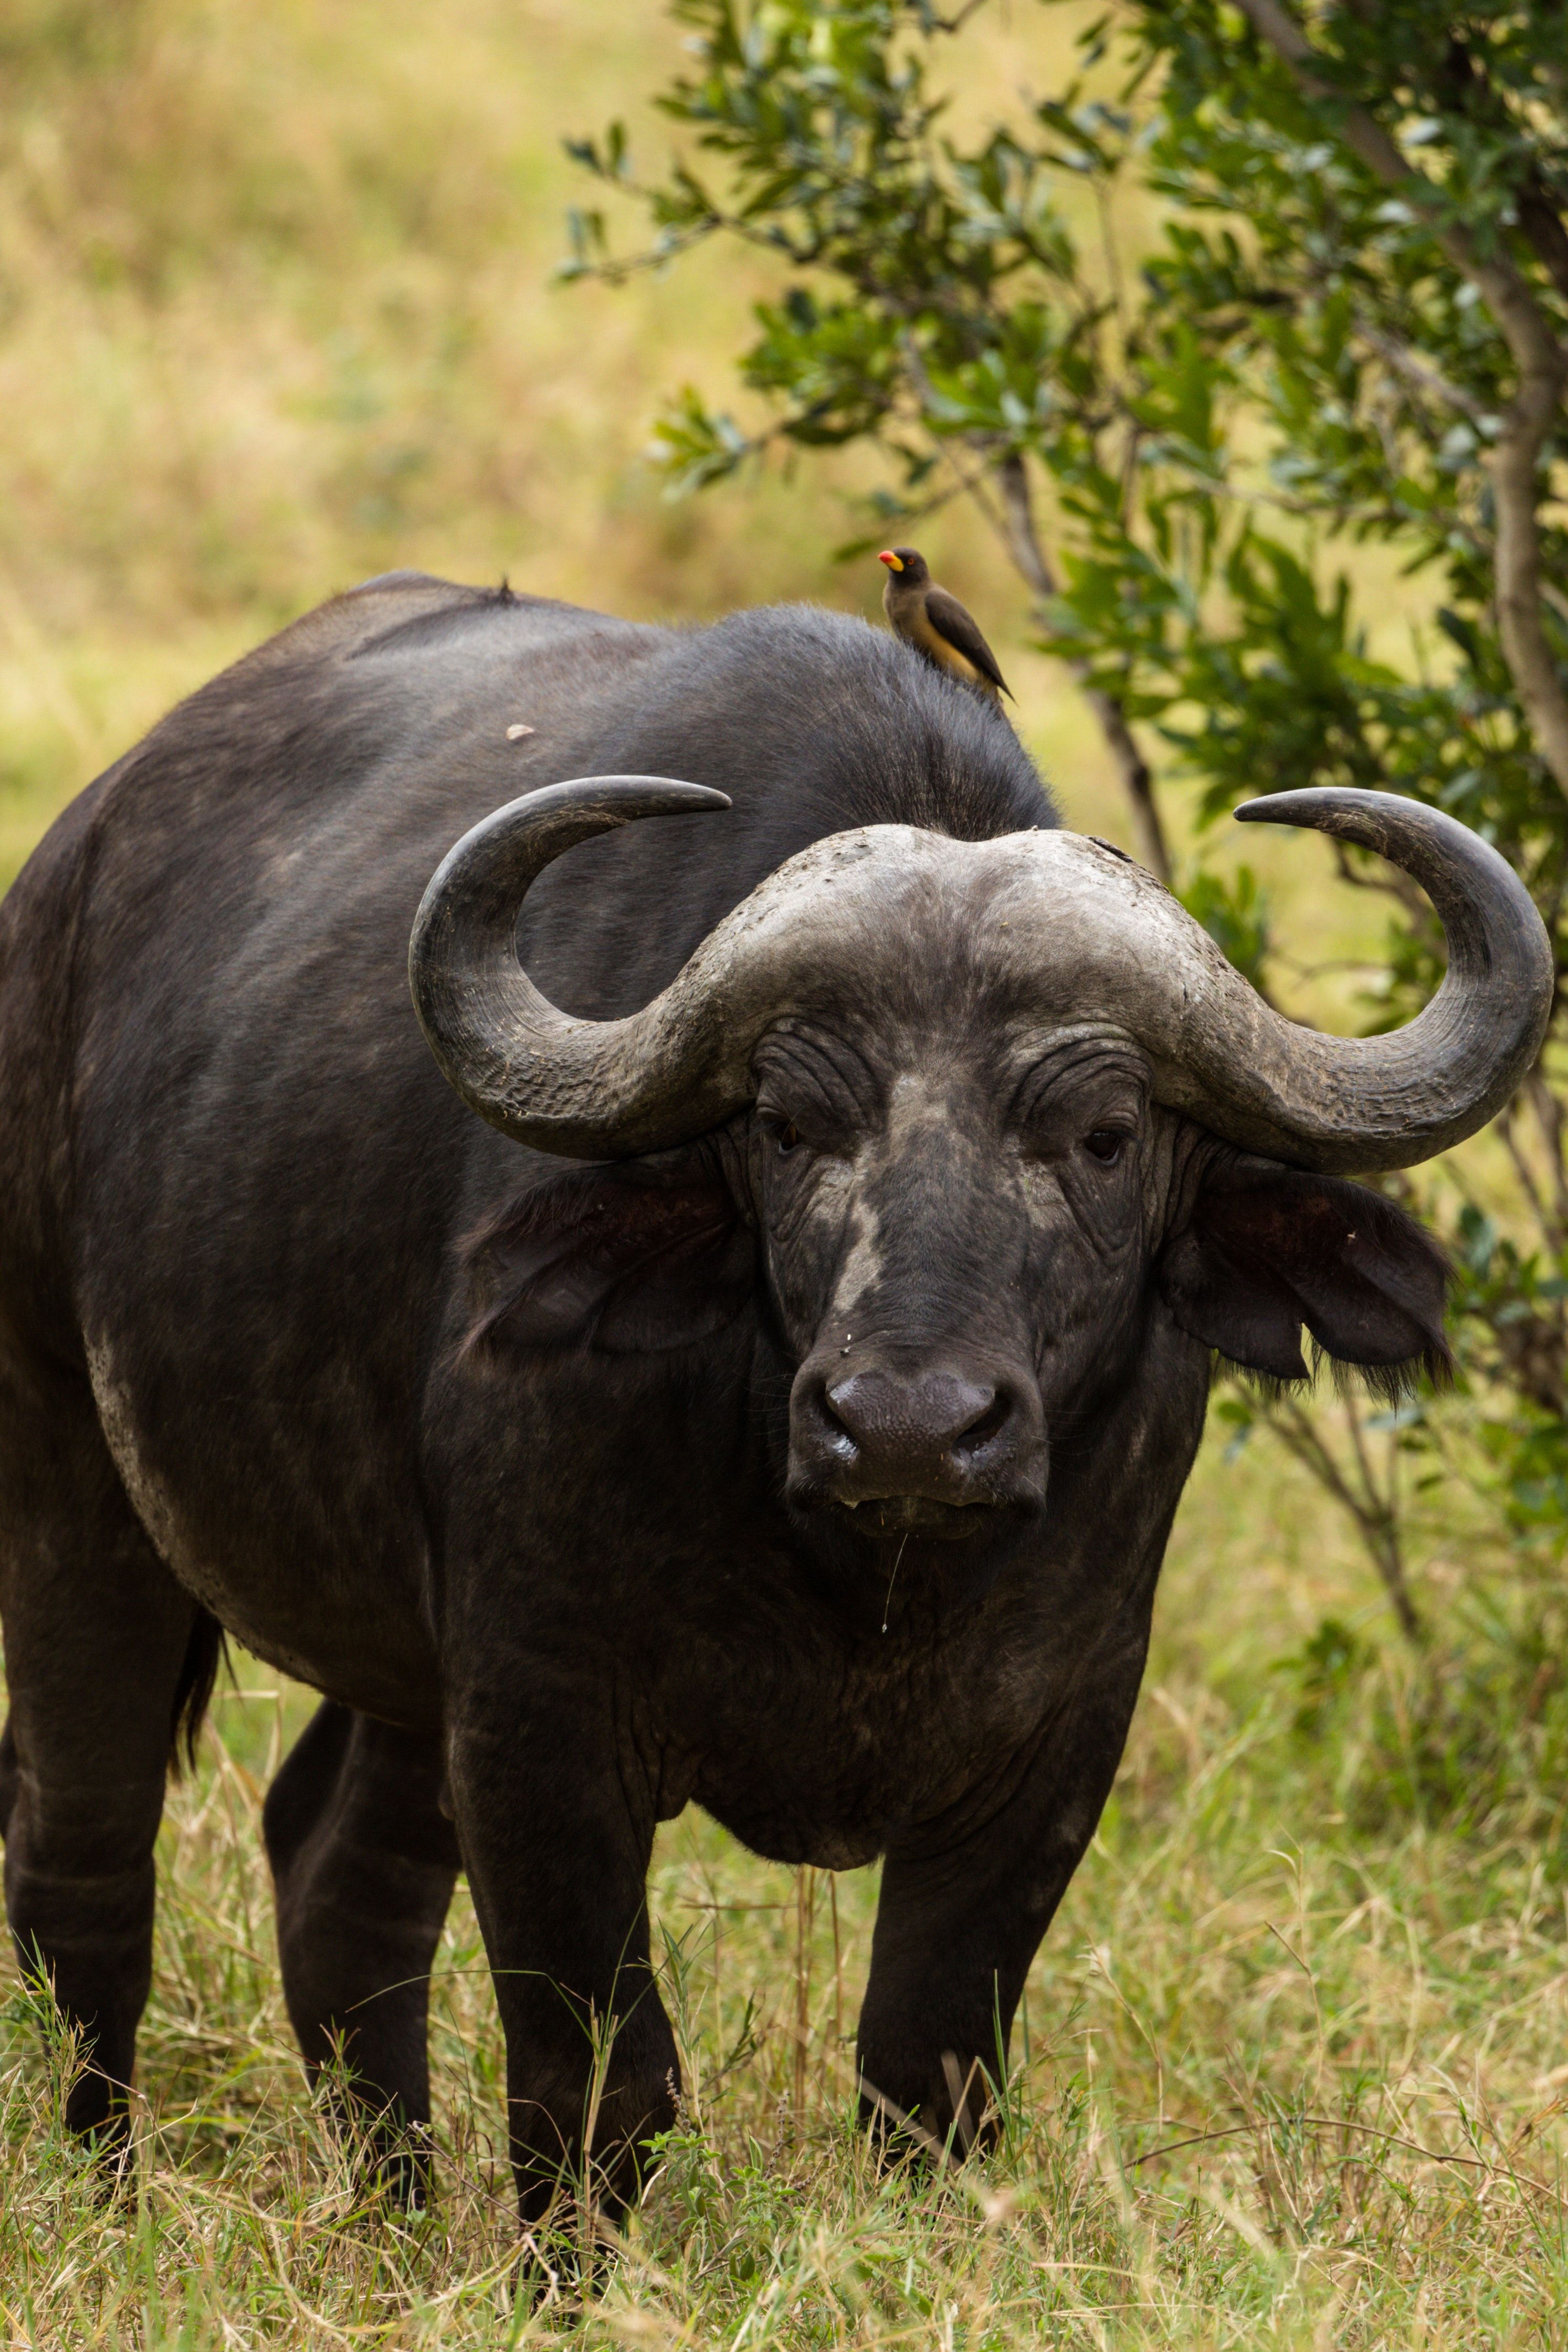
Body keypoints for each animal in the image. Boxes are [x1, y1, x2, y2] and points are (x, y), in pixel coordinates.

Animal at [0, 574, 1551, 2220]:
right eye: (790, 1122)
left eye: (1107, 1131)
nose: (910, 1426)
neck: (862, 1573)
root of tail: (66, 872)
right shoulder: (539, 1723)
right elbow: (602, 2080)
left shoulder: (1056, 1744)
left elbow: (926, 2071)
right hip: (71, 1475)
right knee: (82, 1852)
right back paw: (104, 2186)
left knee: (336, 1874)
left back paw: (395, 2206)